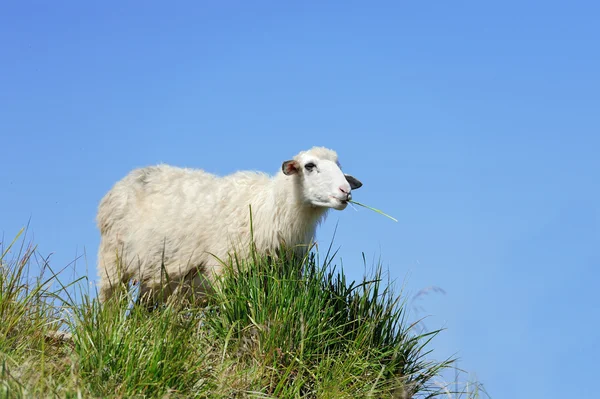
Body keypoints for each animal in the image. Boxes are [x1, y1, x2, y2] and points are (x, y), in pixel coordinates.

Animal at [96, 147, 364, 304]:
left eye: (339, 167)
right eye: (310, 166)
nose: (346, 191)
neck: (271, 208)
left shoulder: (281, 273)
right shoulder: (224, 269)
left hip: (156, 277)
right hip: (112, 261)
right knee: (109, 304)